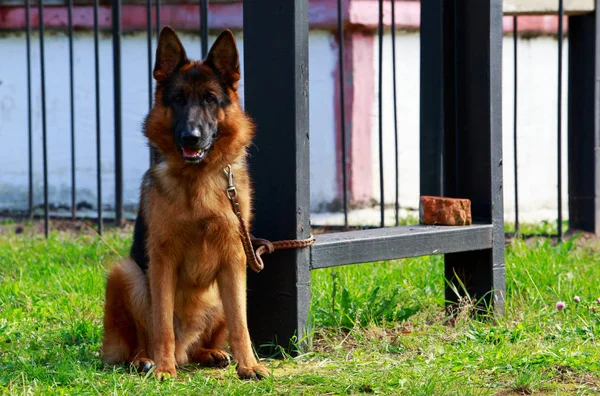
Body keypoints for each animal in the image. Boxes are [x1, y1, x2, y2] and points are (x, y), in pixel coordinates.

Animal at [102, 25, 268, 380]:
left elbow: (241, 324)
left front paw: (248, 365)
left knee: (200, 346)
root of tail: (185, 347)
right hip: (125, 273)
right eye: (177, 99)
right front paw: (164, 369)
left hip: (221, 292)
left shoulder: (234, 261)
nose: (190, 137)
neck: (198, 178)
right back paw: (147, 360)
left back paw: (210, 353)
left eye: (209, 99)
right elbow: (162, 323)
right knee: (144, 341)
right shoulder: (162, 261)